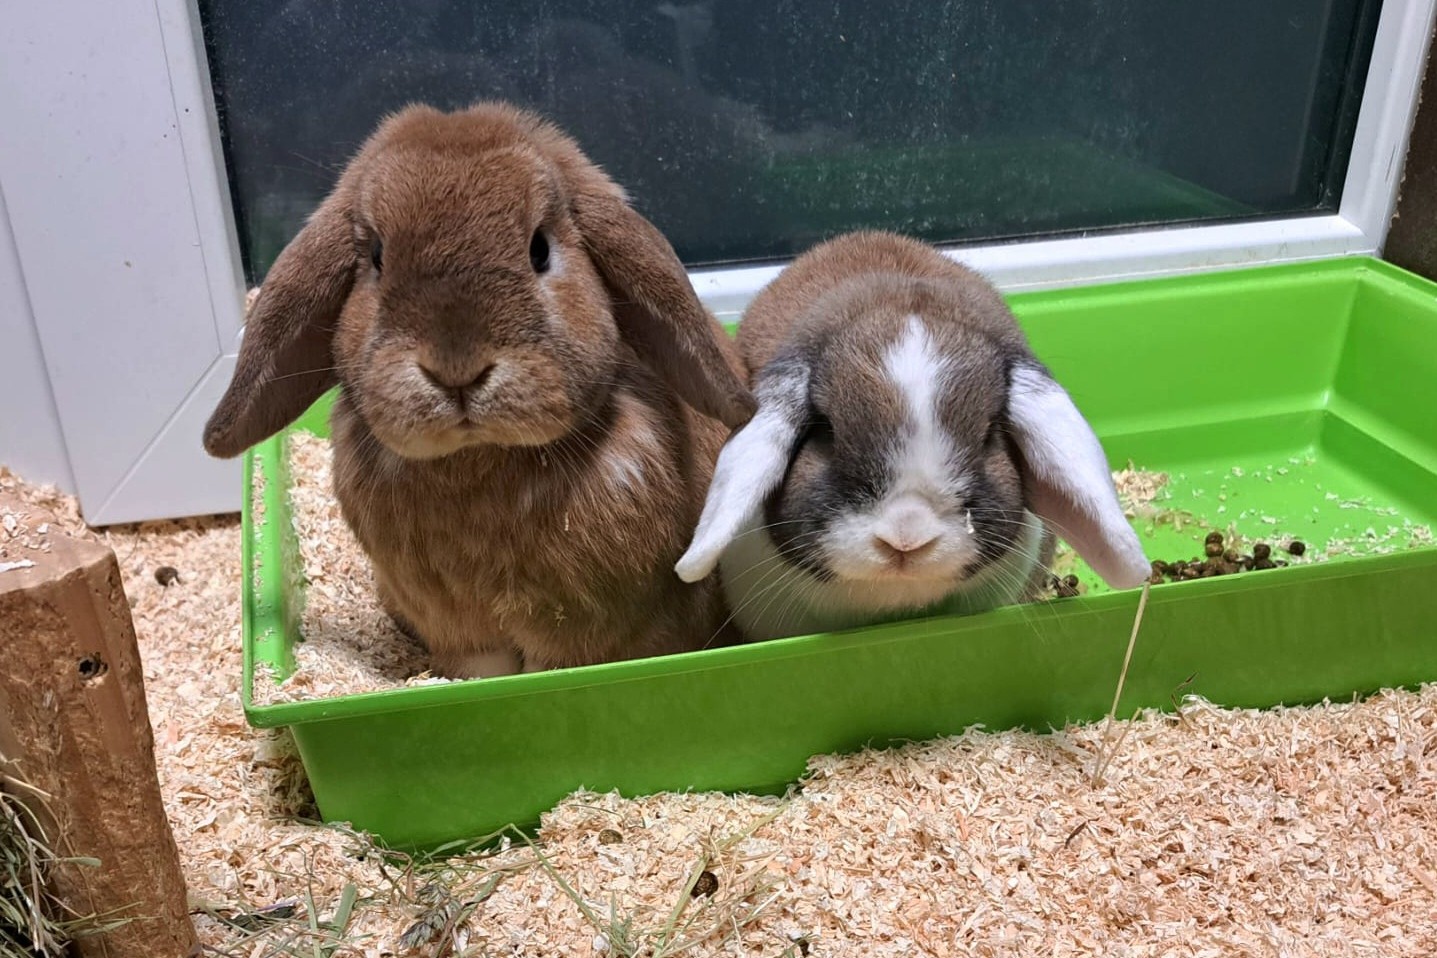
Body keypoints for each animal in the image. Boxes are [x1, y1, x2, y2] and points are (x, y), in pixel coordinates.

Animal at [203, 101, 756, 677]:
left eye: (540, 250)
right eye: (377, 256)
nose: (457, 370)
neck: (476, 462)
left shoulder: (572, 637)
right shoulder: (459, 632)